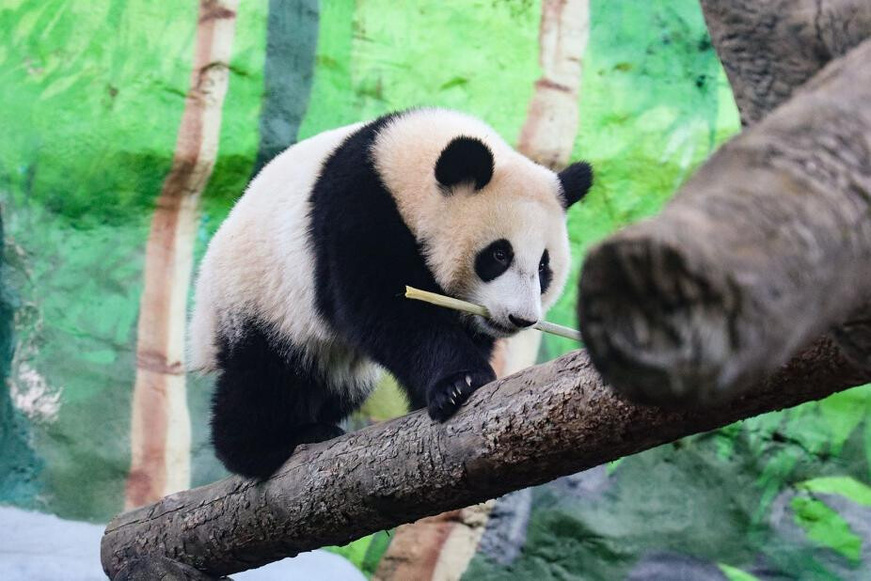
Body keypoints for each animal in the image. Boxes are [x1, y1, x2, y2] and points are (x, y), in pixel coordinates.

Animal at [189, 108, 593, 479]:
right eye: (498, 255)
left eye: (544, 267)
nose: (520, 319)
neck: (397, 162)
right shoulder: (356, 208)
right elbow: (390, 310)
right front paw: (459, 383)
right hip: (260, 295)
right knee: (265, 375)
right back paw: (267, 445)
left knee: (330, 383)